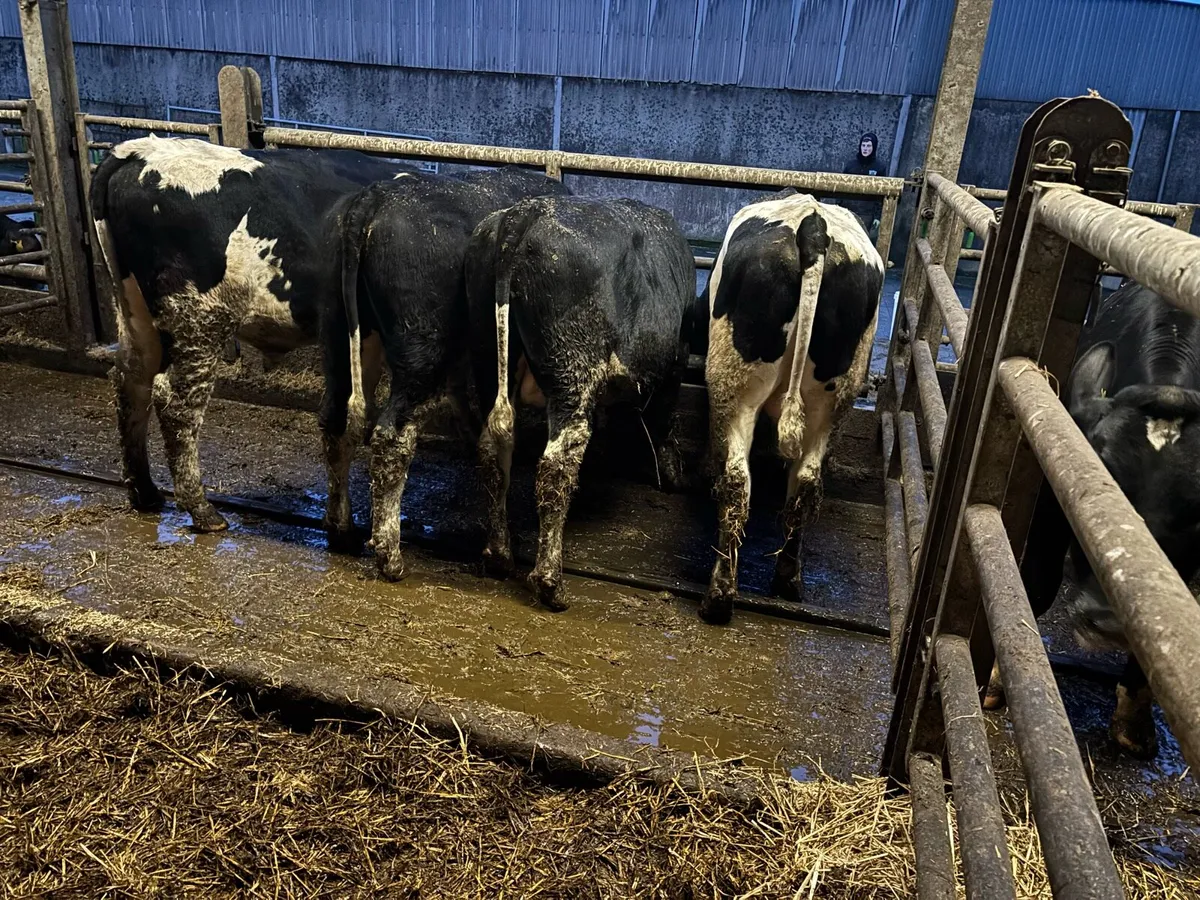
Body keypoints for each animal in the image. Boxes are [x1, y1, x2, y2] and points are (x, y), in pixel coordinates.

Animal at [91, 136, 405, 534]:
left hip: (135, 308)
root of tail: (138, 151)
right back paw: (202, 510)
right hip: (200, 318)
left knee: (131, 381)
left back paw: (145, 493)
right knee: (176, 402)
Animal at [328, 166, 570, 577]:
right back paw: (390, 556)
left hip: (343, 340)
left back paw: (341, 530)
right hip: (421, 350)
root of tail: (374, 198)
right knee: (392, 435)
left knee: (337, 421)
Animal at [467, 196, 694, 611]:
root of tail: (527, 212)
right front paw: (673, 476)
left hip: (487, 352)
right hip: (571, 369)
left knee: (494, 445)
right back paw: (550, 583)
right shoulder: (677, 357)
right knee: (556, 463)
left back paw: (499, 555)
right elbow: (664, 417)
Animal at [698, 189, 882, 625]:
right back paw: (786, 580)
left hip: (734, 383)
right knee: (804, 483)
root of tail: (813, 226)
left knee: (738, 481)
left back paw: (720, 595)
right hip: (831, 401)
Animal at [986, 281, 1200, 759]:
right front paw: (995, 677)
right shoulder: (1050, 493)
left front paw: (1135, 722)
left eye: (1196, 516)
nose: (1108, 620)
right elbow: (1036, 584)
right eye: (1092, 480)